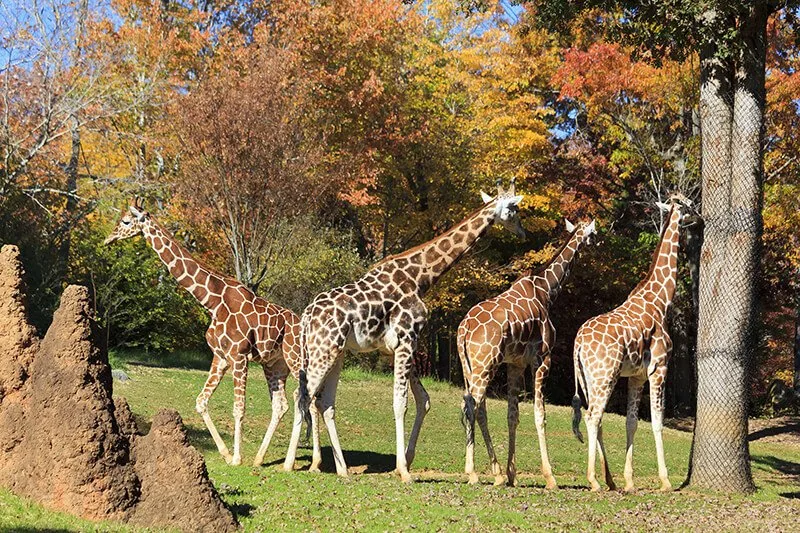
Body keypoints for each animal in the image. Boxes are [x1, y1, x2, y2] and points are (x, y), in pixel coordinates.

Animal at [104, 198, 318, 466]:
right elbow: (201, 402)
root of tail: (303, 326)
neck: (212, 302)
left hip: (296, 358)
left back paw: (306, 463)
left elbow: (239, 408)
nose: (108, 238)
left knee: (308, 401)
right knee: (282, 405)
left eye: (125, 221)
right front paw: (226, 453)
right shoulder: (221, 357)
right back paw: (261, 459)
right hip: (275, 364)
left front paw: (236, 458)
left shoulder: (239, 356)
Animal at [282, 181, 524, 480]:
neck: (420, 277)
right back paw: (290, 463)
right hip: (323, 351)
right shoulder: (407, 340)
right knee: (301, 394)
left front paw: (406, 461)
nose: (523, 233)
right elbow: (401, 403)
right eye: (514, 209)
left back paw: (342, 469)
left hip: (335, 353)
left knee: (323, 401)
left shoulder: (397, 346)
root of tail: (306, 316)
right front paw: (404, 471)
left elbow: (424, 399)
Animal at [460, 216, 596, 486]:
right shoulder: (542, 359)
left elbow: (513, 414)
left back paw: (496, 473)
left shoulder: (515, 363)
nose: (596, 243)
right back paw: (473, 472)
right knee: (472, 407)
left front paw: (511, 474)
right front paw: (550, 476)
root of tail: (464, 329)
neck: (547, 291)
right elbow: (539, 413)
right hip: (485, 365)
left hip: (469, 367)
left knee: (477, 408)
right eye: (593, 233)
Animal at [568, 193, 692, 492]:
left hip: (589, 378)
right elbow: (658, 422)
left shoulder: (636, 375)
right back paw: (594, 480)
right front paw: (665, 481)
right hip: (605, 374)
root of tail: (577, 343)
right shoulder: (659, 368)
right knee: (592, 416)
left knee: (595, 416)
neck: (660, 300)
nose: (698, 215)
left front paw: (629, 480)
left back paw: (610, 480)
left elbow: (631, 422)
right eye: (687, 205)